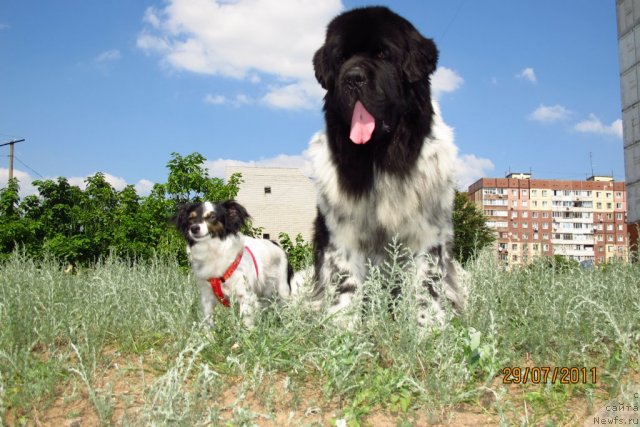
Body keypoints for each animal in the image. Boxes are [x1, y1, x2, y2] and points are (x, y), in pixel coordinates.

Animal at [308, 5, 462, 328]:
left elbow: (426, 285)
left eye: (382, 54)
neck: (379, 159)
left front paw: (428, 329)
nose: (353, 78)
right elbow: (346, 284)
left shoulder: (426, 234)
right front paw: (343, 330)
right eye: (341, 58)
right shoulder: (343, 234)